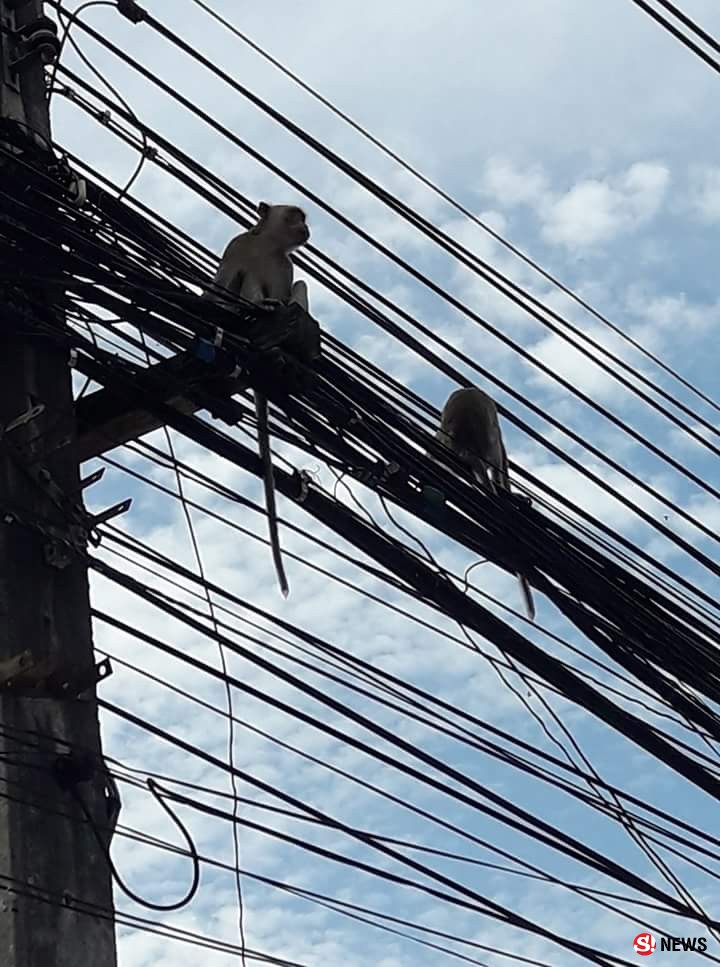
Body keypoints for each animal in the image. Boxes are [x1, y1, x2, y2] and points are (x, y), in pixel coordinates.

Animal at [207, 202, 310, 596]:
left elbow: (294, 284)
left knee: (298, 289)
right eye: (296, 214)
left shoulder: (285, 264)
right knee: (248, 285)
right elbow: (224, 285)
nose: (306, 226)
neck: (268, 245)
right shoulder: (239, 247)